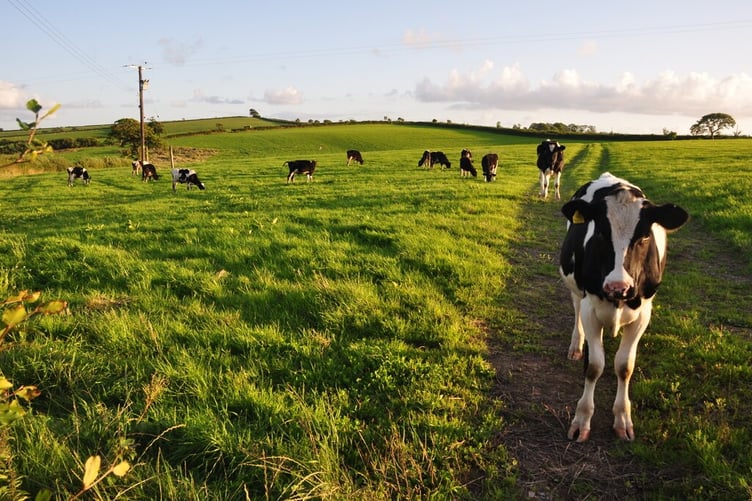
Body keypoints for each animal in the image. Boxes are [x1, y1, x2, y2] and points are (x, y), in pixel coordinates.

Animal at [559, 172, 688, 442]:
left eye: (645, 236)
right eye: (600, 234)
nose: (618, 286)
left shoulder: (643, 315)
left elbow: (624, 366)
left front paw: (622, 419)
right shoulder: (590, 308)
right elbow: (594, 366)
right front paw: (582, 420)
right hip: (575, 287)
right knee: (575, 311)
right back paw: (576, 346)